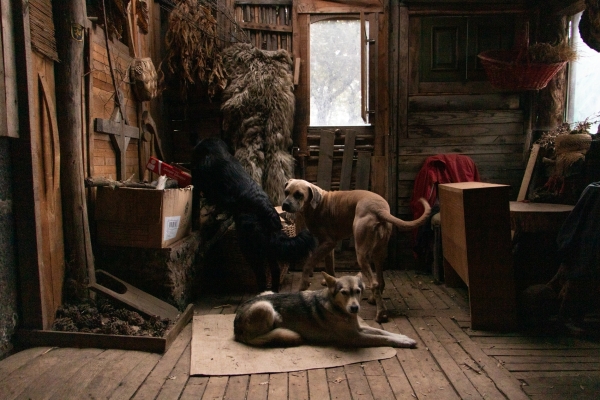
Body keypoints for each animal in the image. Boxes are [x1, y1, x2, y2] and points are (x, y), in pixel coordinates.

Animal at [191, 137, 315, 292]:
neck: (216, 151)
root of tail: (268, 212)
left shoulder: (199, 183)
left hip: (250, 247)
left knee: (261, 275)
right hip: (269, 247)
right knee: (275, 271)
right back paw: (273, 291)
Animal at [234, 272, 417, 348]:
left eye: (358, 291)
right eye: (344, 292)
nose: (354, 308)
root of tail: (236, 330)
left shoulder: (358, 329)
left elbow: (383, 332)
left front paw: (403, 337)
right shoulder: (355, 337)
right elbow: (382, 338)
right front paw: (404, 342)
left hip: (268, 292)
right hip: (265, 307)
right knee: (260, 336)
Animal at [281, 179, 432, 322]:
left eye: (299, 194)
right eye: (286, 192)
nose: (285, 205)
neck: (316, 204)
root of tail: (379, 209)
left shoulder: (328, 243)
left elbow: (308, 264)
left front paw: (303, 285)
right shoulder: (329, 246)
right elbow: (330, 266)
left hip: (361, 253)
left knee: (374, 283)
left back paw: (381, 314)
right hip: (378, 253)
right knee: (380, 280)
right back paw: (374, 300)